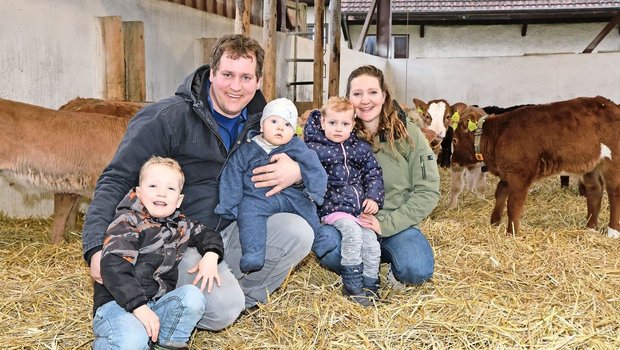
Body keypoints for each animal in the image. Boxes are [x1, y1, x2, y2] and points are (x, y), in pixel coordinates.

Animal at [450, 95, 620, 238]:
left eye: (454, 140)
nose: (452, 162)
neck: (496, 135)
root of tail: (610, 104)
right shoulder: (508, 171)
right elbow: (500, 192)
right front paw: (495, 222)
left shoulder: (520, 174)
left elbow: (513, 204)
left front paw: (511, 233)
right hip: (590, 163)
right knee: (595, 190)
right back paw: (590, 227)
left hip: (612, 160)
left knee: (614, 192)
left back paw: (613, 232)